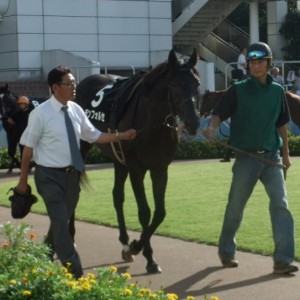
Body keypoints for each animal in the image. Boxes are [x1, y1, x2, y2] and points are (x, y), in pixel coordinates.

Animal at [76, 48, 200, 274]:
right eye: (176, 85)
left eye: (197, 83)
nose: (193, 123)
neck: (152, 122)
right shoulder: (137, 169)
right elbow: (145, 212)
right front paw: (147, 255)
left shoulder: (160, 169)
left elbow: (159, 213)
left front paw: (135, 247)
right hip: (83, 147)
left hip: (118, 159)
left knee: (117, 196)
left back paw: (125, 243)